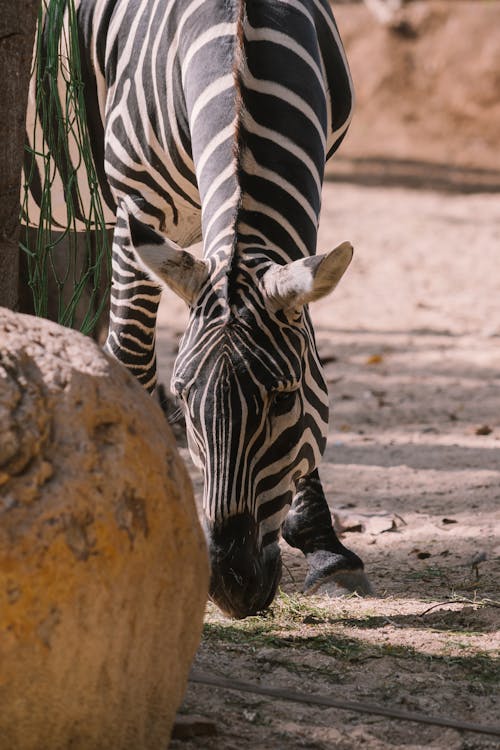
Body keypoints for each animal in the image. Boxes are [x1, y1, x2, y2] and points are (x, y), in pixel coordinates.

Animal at [25, 1, 374, 616]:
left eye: (284, 399)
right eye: (189, 397)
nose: (231, 587)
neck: (239, 36)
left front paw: (325, 546)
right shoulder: (135, 211)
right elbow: (130, 359)